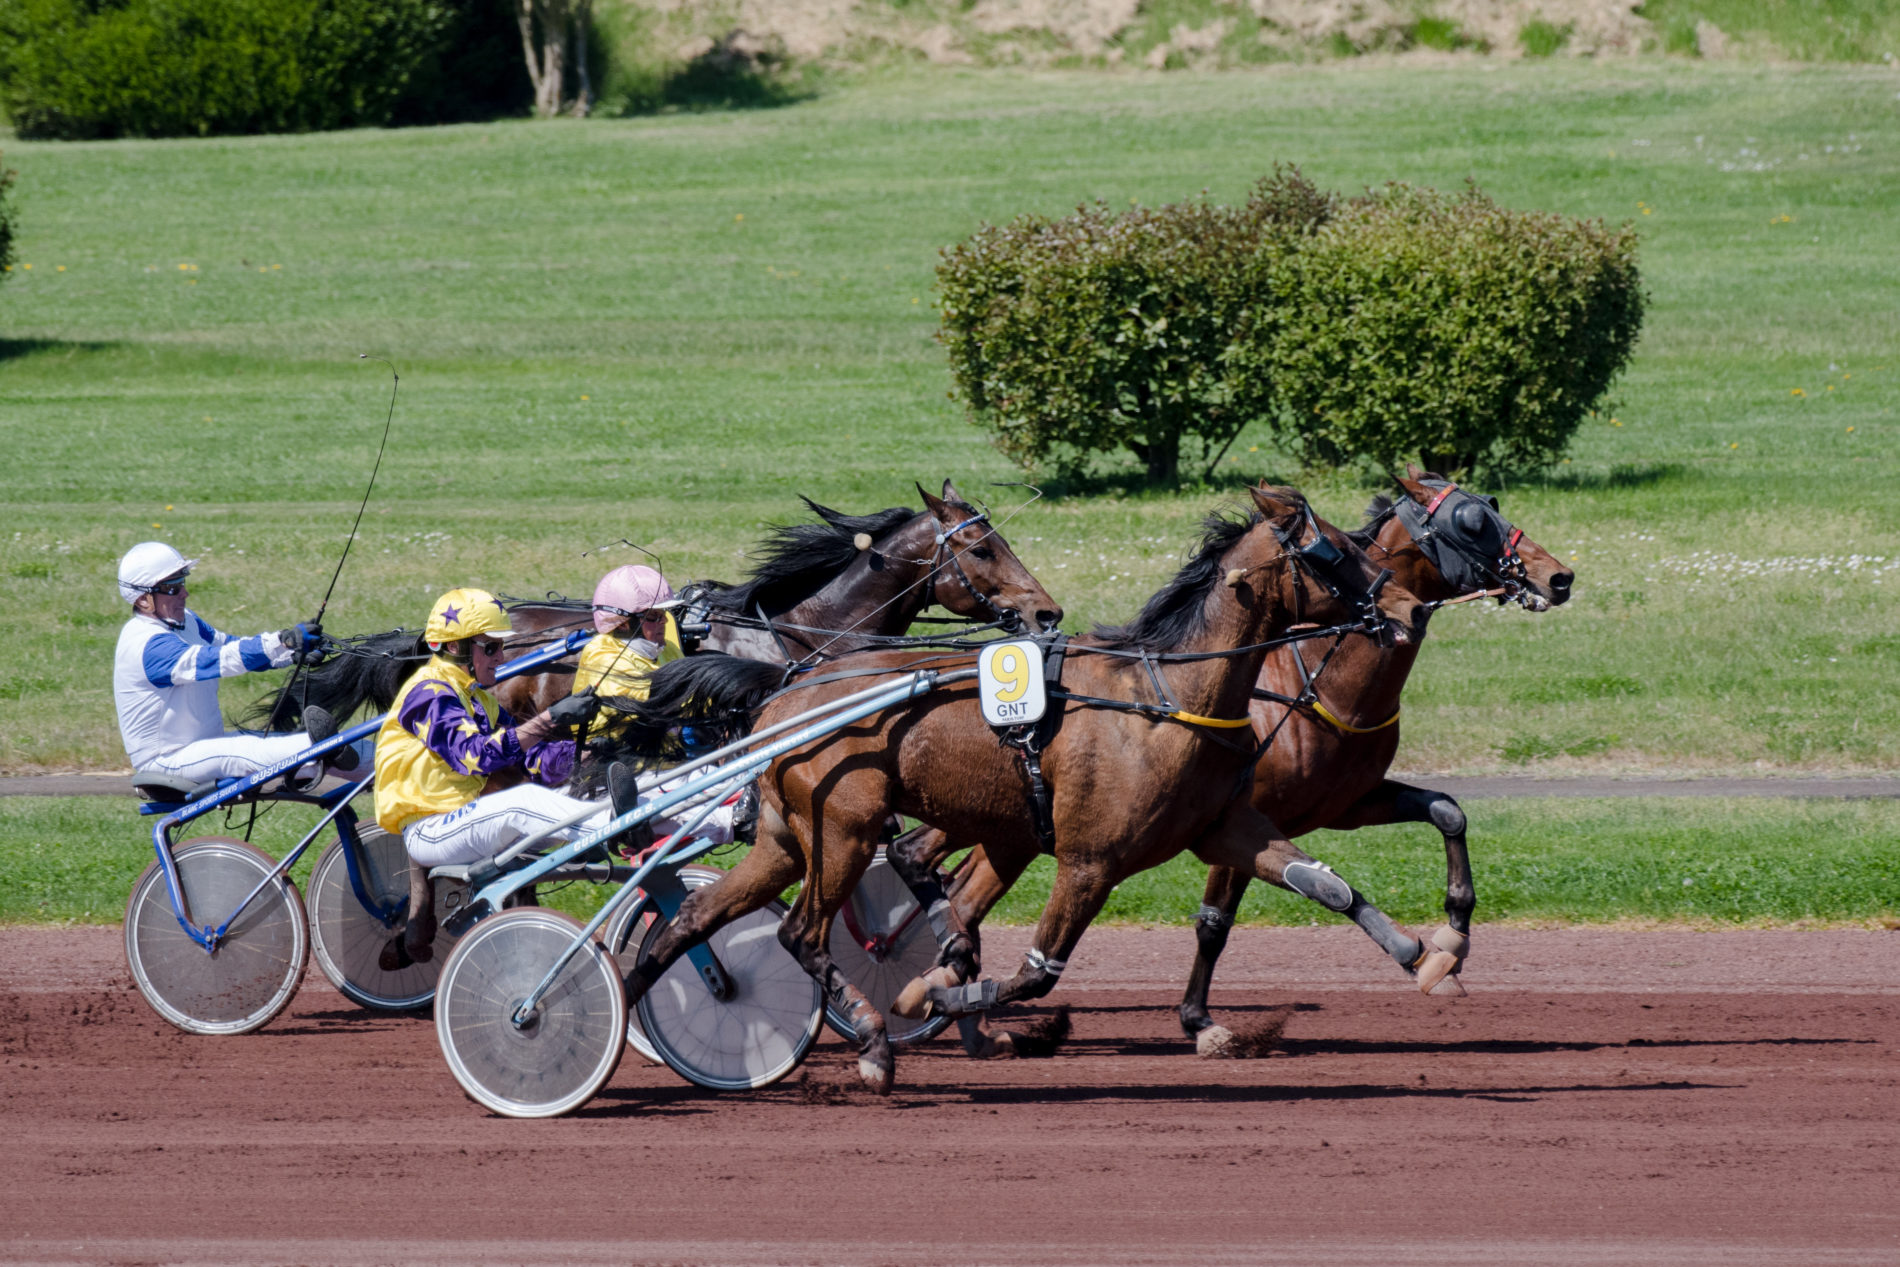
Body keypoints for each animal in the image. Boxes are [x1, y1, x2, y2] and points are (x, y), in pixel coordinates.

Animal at [618, 484, 1426, 1094]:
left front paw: (1426, 951)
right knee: (801, 933)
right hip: (843, 827)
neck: (1165, 697)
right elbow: (1036, 974)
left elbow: (1323, 882)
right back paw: (875, 1042)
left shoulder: (1224, 825)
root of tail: (788, 686)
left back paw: (607, 1011)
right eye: (1335, 552)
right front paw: (929, 994)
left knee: (690, 919)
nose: (1405, 610)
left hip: (790, 837)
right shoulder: (1090, 861)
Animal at [890, 469, 1575, 1057]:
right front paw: (1199, 1021)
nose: (1559, 577)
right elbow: (1215, 924)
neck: (1310, 679)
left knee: (959, 891)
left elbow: (1443, 813)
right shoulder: (1247, 811)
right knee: (925, 868)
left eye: (1491, 503)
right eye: (1473, 520)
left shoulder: (1343, 803)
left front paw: (1448, 943)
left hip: (1011, 829)